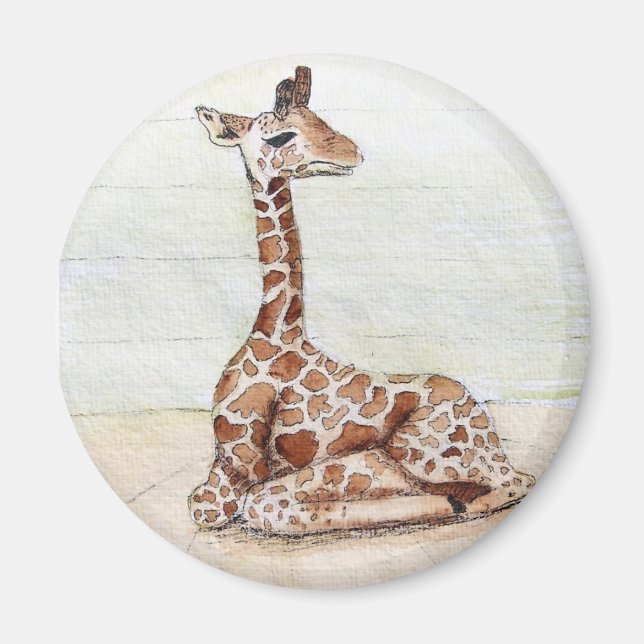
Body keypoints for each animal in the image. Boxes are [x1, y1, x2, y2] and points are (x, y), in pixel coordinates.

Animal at [189, 66, 535, 534]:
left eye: (320, 120)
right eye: (280, 137)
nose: (351, 153)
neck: (274, 336)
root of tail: (489, 429)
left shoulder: (258, 476)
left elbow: (261, 504)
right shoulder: (222, 475)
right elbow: (210, 504)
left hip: (421, 452)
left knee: (511, 483)